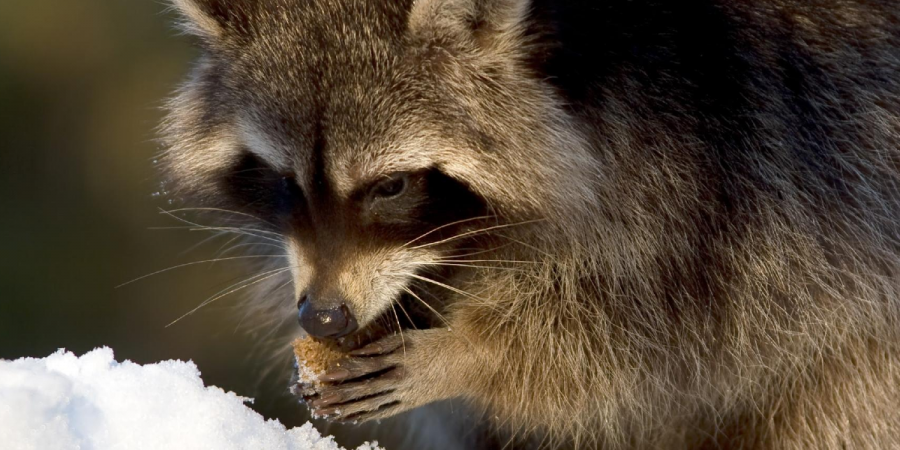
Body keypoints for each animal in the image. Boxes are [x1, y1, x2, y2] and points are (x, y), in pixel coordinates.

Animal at [160, 0, 900, 448]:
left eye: (392, 185)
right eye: (284, 183)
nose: (323, 318)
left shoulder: (738, 162)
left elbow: (653, 334)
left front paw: (472, 354)